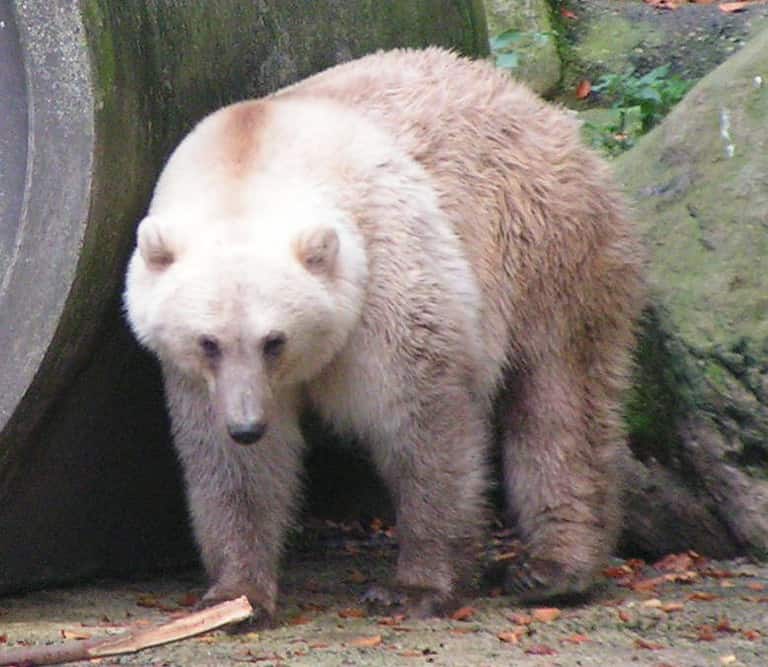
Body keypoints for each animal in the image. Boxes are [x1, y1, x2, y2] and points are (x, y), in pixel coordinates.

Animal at [124, 47, 645, 623]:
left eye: (274, 340)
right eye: (208, 342)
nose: (247, 425)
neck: (251, 160)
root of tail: (541, 108)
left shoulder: (384, 273)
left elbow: (421, 422)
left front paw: (417, 587)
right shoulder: (196, 377)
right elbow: (233, 467)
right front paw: (236, 595)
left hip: (546, 243)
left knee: (560, 399)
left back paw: (553, 569)